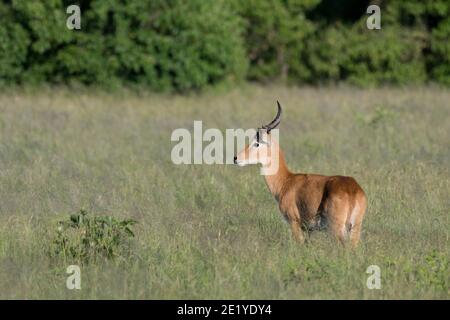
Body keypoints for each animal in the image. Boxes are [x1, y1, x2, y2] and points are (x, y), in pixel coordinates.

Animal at [234, 101, 368, 246]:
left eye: (257, 143)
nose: (236, 158)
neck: (286, 181)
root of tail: (352, 189)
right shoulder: (309, 230)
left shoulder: (294, 223)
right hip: (355, 228)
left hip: (337, 229)